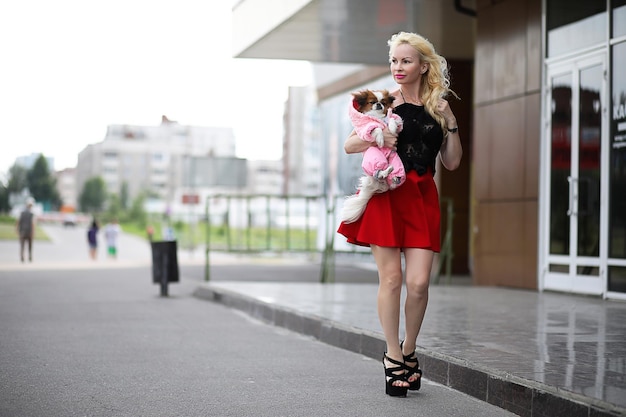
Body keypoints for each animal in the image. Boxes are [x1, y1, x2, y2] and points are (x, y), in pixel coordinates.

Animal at [338, 89, 408, 223]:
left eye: (383, 102)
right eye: (372, 102)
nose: (379, 104)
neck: (378, 117)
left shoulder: (396, 120)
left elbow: (393, 120)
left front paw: (391, 128)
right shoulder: (366, 129)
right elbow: (377, 129)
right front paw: (380, 140)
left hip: (395, 159)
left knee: (392, 180)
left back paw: (394, 177)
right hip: (373, 154)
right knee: (380, 172)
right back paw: (383, 172)